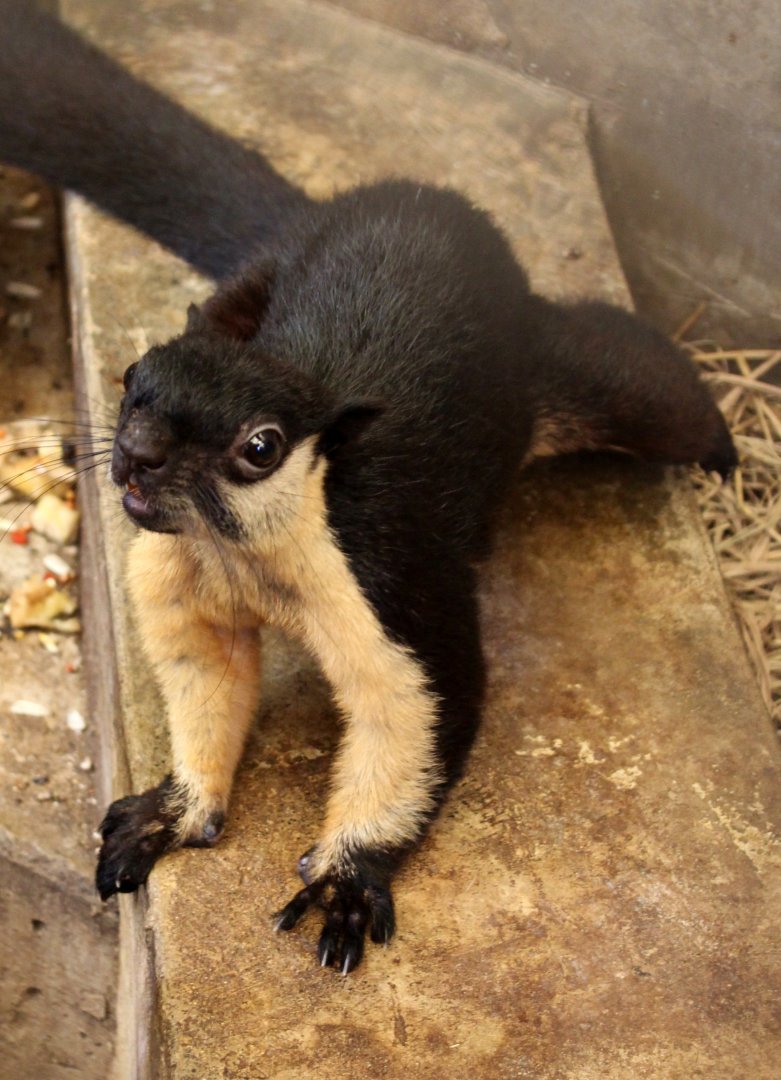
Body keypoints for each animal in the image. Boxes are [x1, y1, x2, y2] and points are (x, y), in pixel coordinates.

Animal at [1, 1, 735, 973]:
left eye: (261, 446)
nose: (136, 455)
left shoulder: (393, 584)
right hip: (255, 281)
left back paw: (725, 451)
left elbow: (414, 718)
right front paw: (169, 813)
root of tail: (414, 200)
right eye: (131, 378)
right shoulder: (174, 591)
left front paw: (344, 883)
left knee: (649, 374)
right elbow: (203, 689)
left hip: (595, 384)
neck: (246, 560)